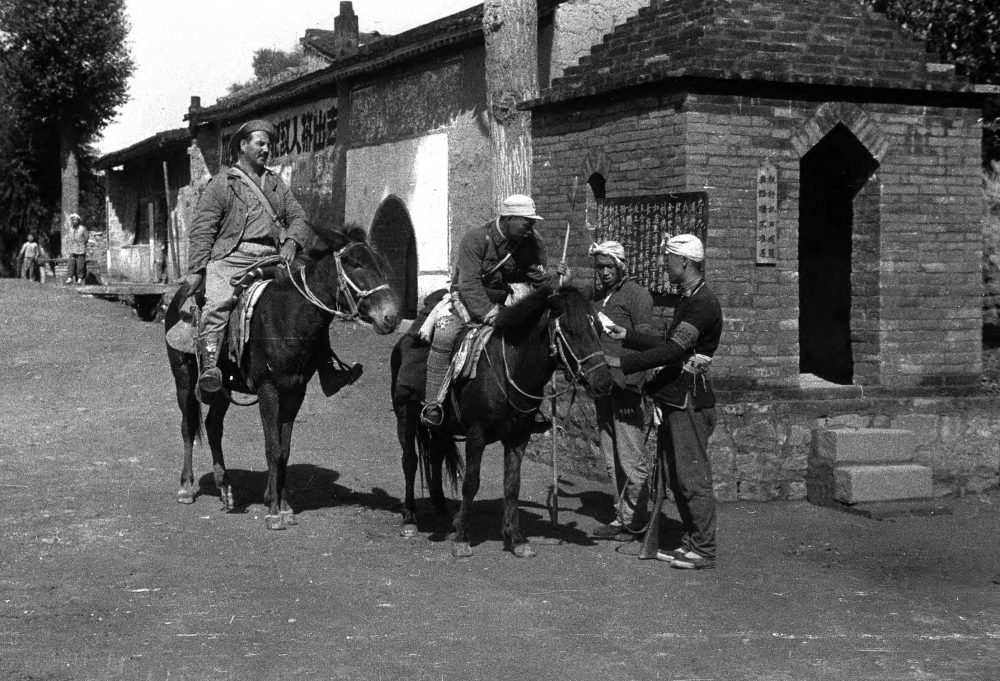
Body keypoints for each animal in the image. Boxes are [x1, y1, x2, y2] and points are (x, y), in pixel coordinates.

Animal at [166, 226, 396, 528]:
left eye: (379, 263)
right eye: (355, 263)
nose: (391, 317)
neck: (287, 317)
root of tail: (181, 292)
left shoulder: (295, 391)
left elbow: (284, 450)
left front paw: (284, 506)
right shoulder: (268, 389)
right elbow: (272, 448)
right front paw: (273, 512)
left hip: (222, 388)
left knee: (213, 426)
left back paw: (226, 489)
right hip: (183, 376)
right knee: (187, 426)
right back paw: (186, 487)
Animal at [392, 284, 612, 556]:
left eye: (599, 329)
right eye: (571, 330)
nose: (604, 382)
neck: (510, 367)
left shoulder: (519, 437)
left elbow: (512, 484)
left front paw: (515, 537)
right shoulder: (476, 435)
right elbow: (471, 482)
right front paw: (462, 538)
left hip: (441, 428)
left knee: (435, 456)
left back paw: (443, 512)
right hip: (405, 412)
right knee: (410, 461)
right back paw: (410, 519)